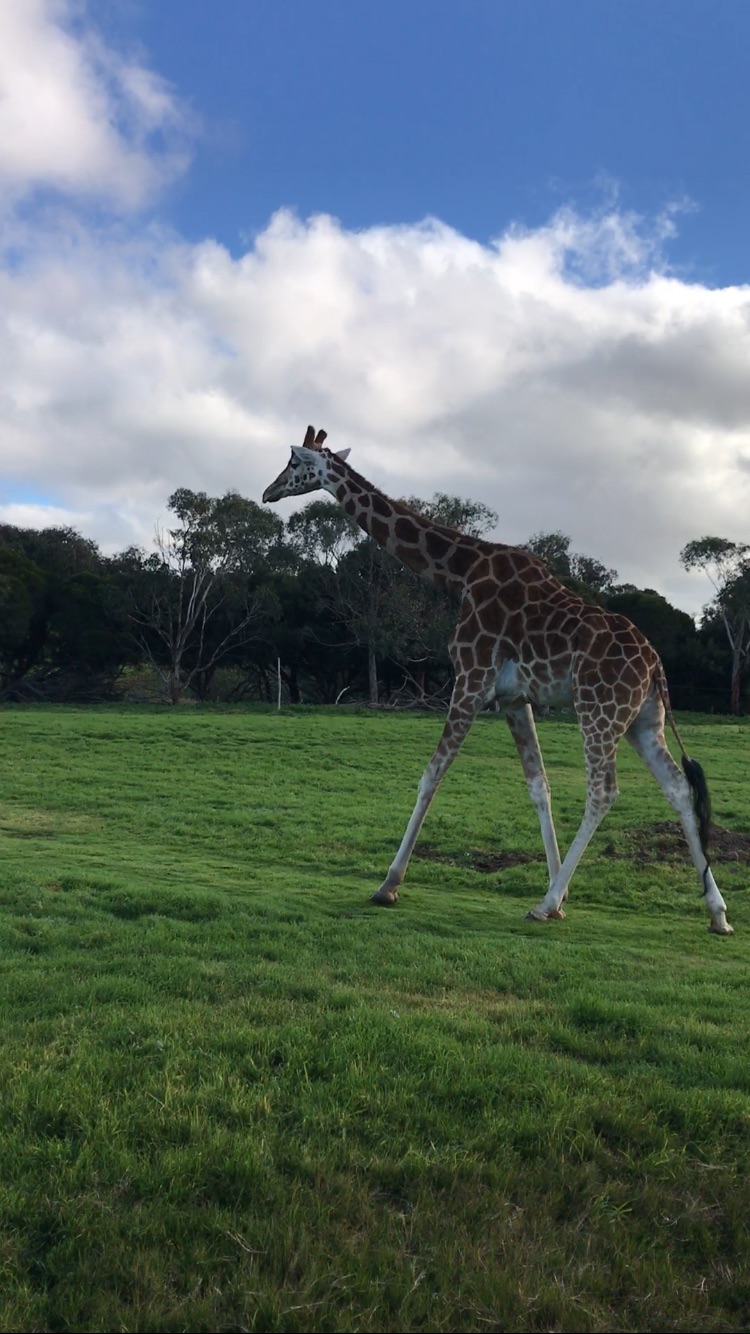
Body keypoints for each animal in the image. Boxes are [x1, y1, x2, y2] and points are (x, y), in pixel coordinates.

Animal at [261, 426, 731, 939]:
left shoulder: (470, 678)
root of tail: (655, 668)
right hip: (643, 722)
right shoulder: (513, 698)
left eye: (293, 462)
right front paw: (561, 891)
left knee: (604, 791)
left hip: (599, 712)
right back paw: (717, 913)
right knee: (679, 789)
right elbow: (539, 785)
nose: (267, 492)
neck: (460, 572)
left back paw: (543, 905)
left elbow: (431, 774)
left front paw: (388, 885)